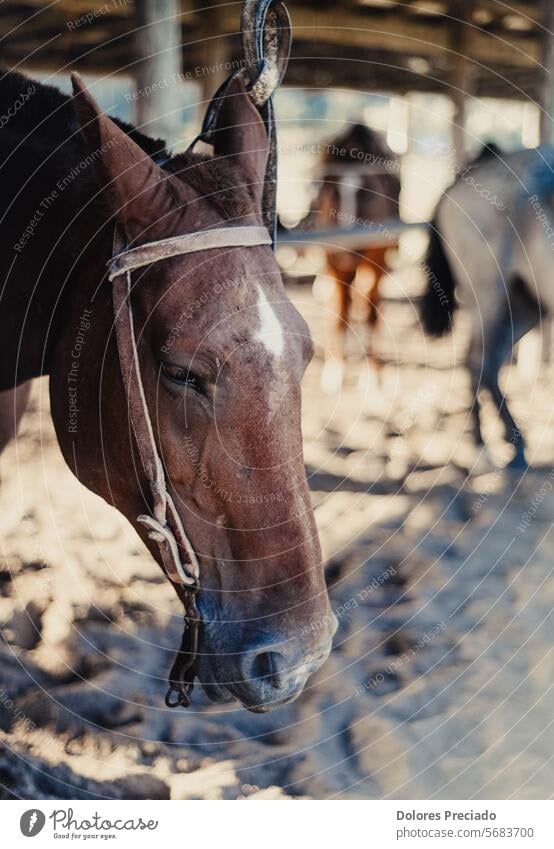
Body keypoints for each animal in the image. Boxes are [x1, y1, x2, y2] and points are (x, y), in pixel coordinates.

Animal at [302, 122, 396, 390]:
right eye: (332, 192)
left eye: (368, 193)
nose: (345, 251)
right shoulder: (331, 264)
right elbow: (338, 314)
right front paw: (334, 372)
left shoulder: (376, 260)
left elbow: (371, 312)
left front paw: (371, 374)